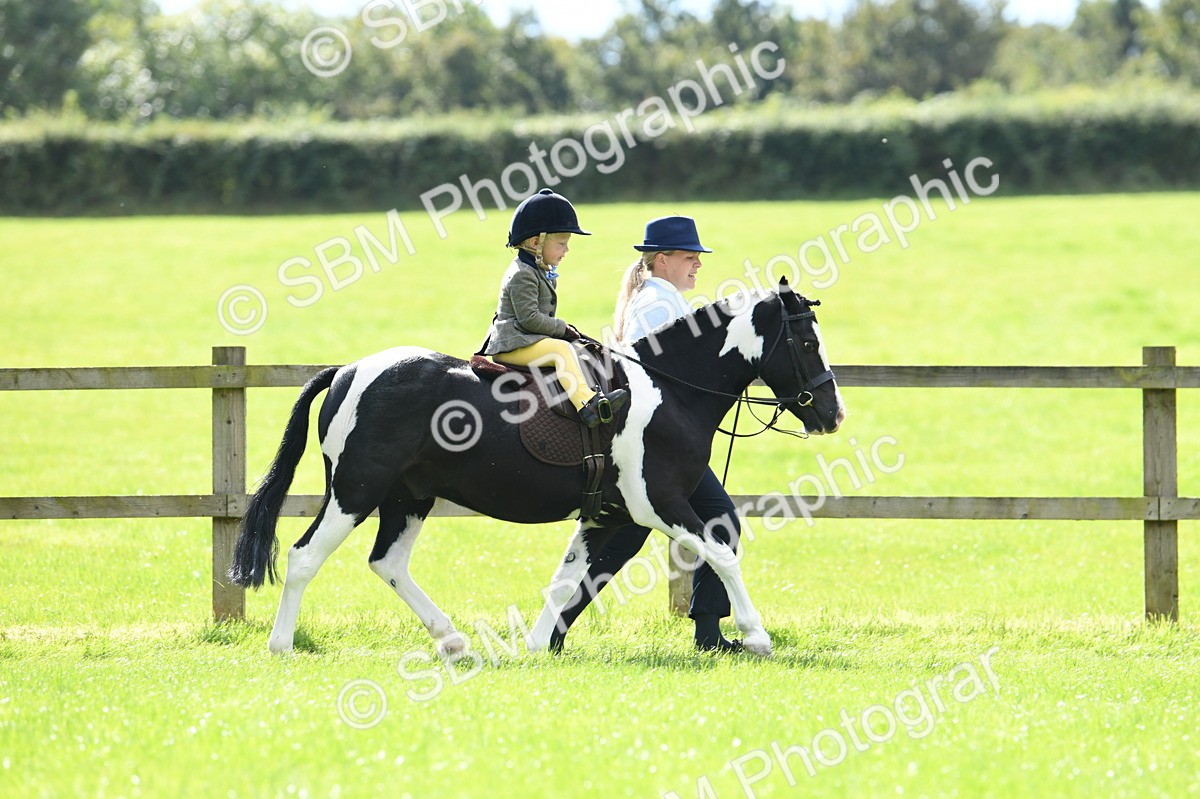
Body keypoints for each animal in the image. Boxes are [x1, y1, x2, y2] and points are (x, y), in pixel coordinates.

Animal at [228, 277, 844, 658]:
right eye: (805, 341)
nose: (832, 414)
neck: (668, 391)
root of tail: (349, 370)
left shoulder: (609, 516)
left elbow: (569, 577)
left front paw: (537, 646)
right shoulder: (657, 505)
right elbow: (721, 553)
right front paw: (756, 635)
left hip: (408, 498)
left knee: (389, 563)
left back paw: (452, 640)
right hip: (356, 491)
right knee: (304, 557)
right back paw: (281, 645)